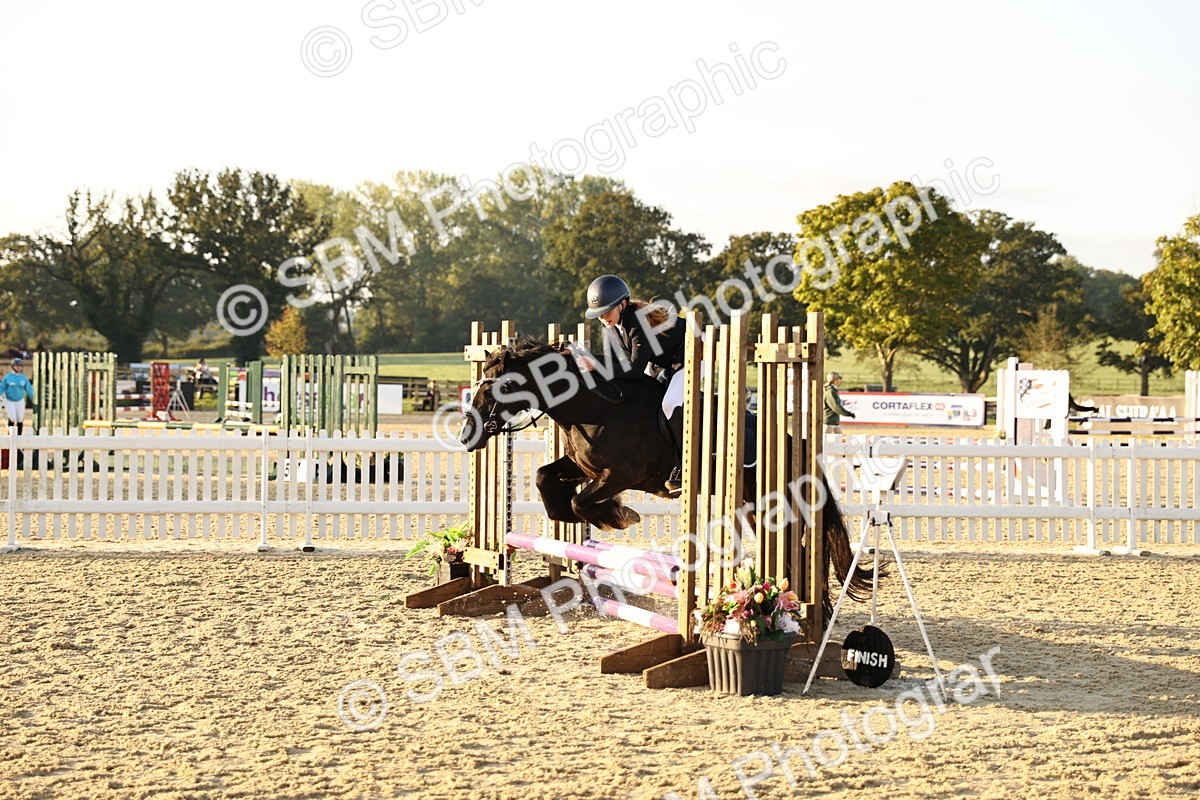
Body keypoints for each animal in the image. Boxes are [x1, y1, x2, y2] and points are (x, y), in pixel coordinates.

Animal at [459, 335, 876, 616]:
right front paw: (571, 526)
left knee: (801, 549)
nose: (467, 436)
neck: (592, 406)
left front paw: (619, 516)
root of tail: (791, 440)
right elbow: (546, 479)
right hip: (755, 506)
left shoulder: (621, 474)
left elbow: (582, 501)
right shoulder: (583, 466)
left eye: (500, 386)